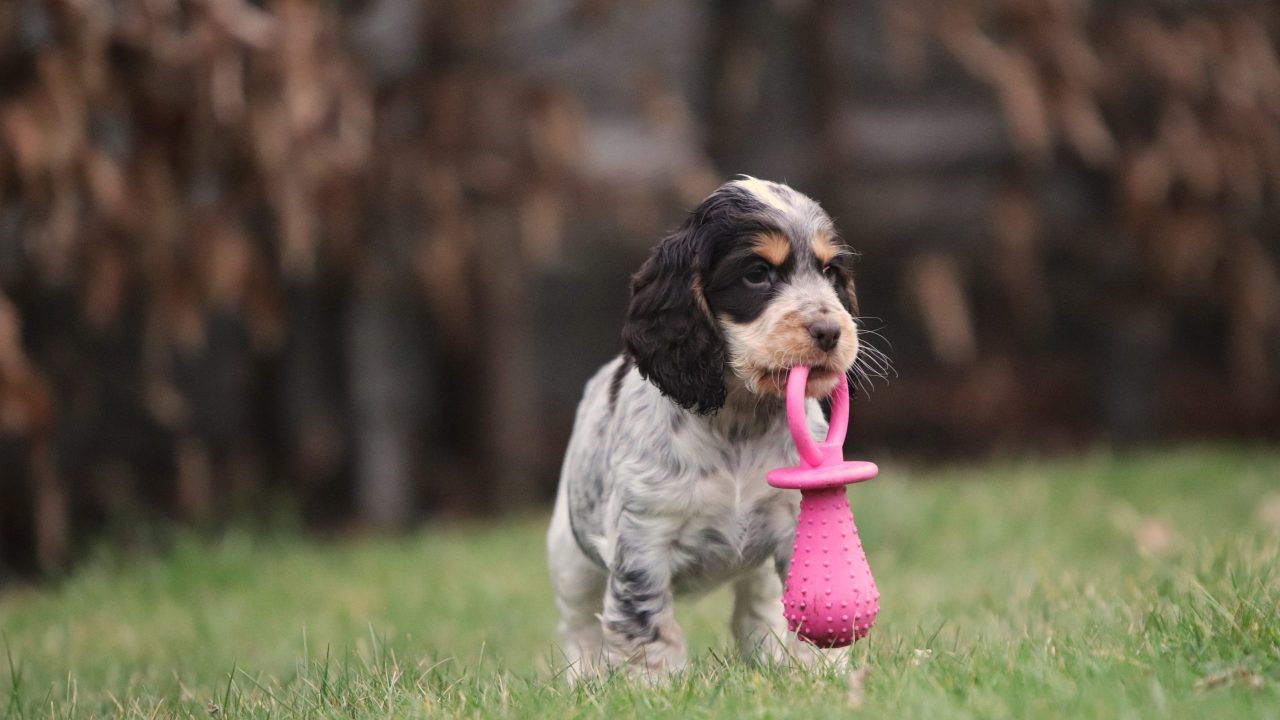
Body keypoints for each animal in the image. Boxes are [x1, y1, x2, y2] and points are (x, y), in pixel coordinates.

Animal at [550, 175, 880, 676]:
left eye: (830, 272)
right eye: (757, 273)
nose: (830, 332)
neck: (738, 420)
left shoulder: (794, 523)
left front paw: (822, 674)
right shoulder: (643, 537)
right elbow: (646, 626)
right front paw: (655, 685)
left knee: (757, 610)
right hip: (569, 556)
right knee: (579, 625)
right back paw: (583, 678)